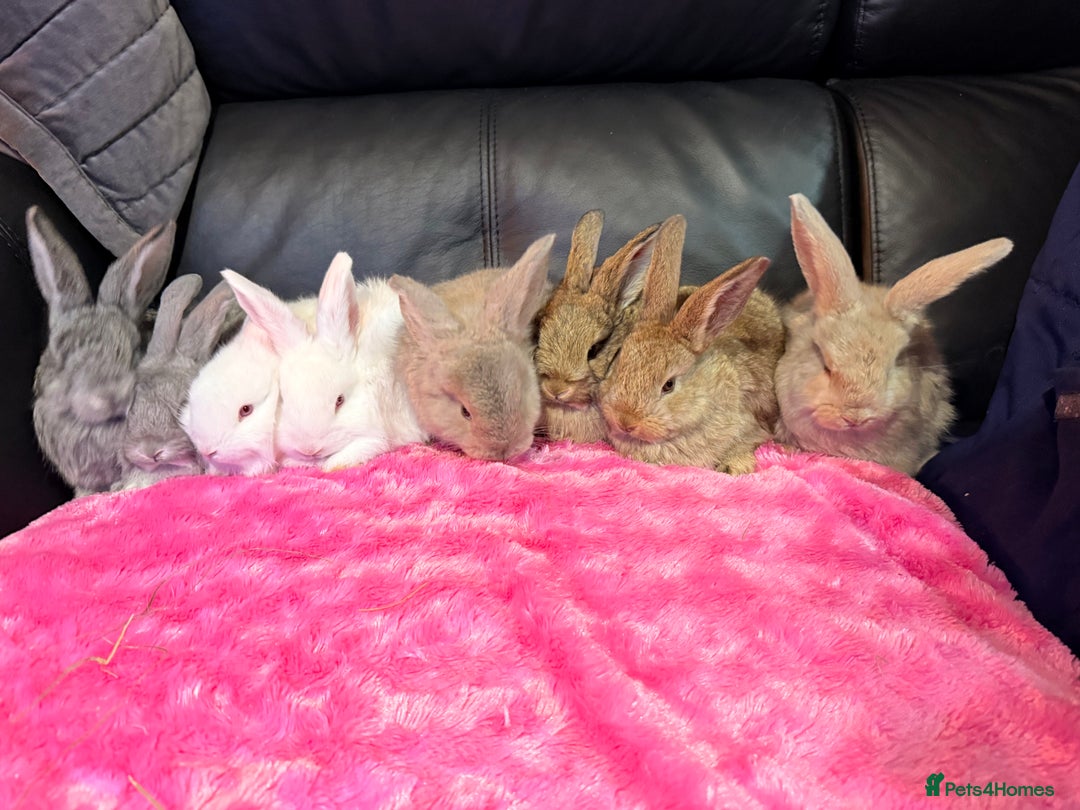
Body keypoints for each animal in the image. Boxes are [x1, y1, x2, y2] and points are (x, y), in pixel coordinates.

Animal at [222, 252, 427, 471]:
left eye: (340, 400)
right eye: (283, 399)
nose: (310, 449)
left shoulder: (377, 432)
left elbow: (365, 446)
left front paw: (332, 464)